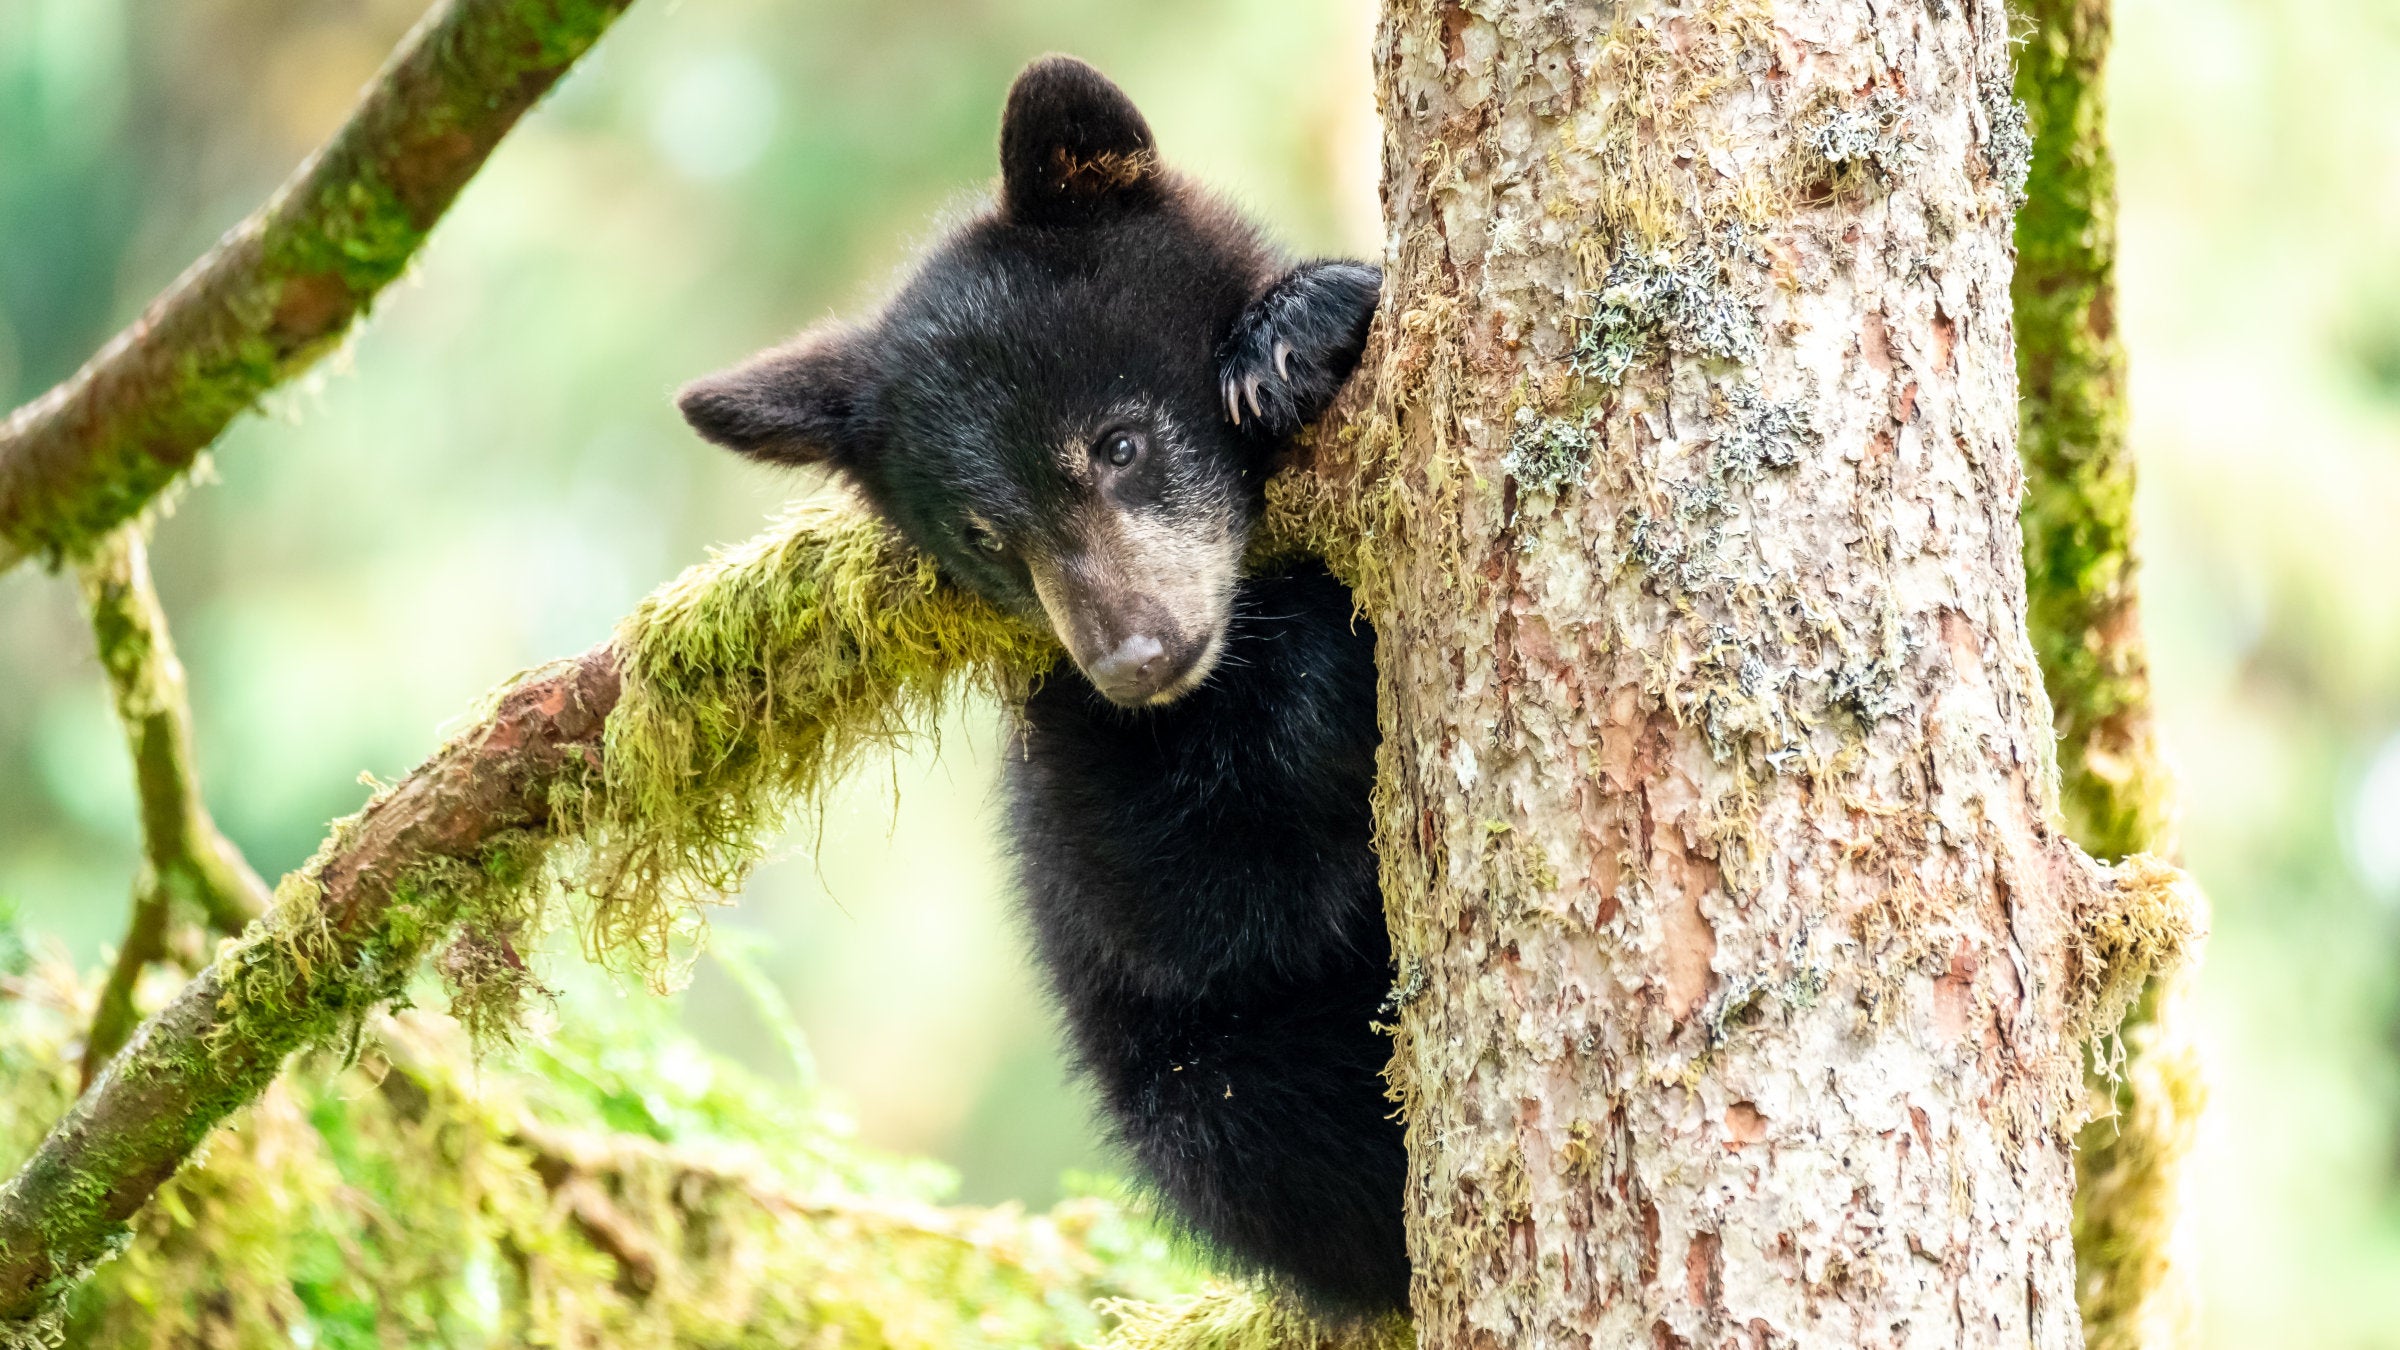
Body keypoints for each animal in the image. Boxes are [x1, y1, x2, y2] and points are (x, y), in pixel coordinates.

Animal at [676, 55, 1402, 1317]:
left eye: (1118, 443)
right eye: (982, 534)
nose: (1135, 657)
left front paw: (1304, 326)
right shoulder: (1073, 759)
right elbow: (1204, 896)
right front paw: (1298, 677)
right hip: (1202, 1084)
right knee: (1265, 1134)